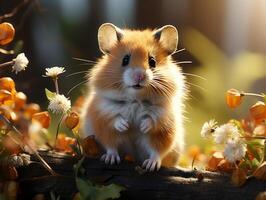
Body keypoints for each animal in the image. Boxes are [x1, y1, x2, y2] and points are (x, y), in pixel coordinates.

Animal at [81, 23, 187, 170]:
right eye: (125, 60)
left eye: (152, 61)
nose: (139, 76)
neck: (136, 100)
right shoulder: (102, 119)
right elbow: (112, 135)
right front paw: (124, 127)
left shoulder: (164, 123)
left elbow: (156, 144)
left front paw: (143, 127)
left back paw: (150, 165)